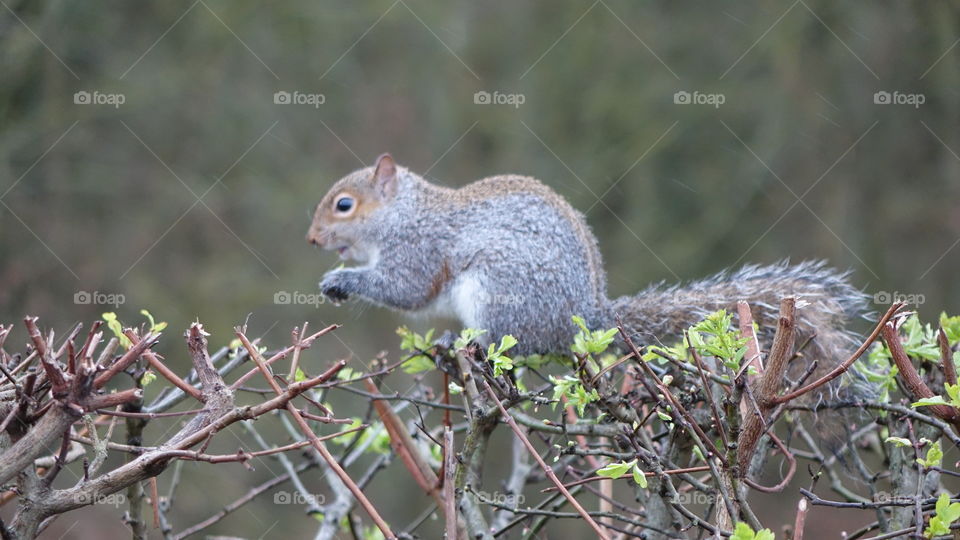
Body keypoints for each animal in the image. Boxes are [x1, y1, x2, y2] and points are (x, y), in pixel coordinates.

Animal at [306, 154, 869, 382]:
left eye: (344, 206)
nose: (311, 240)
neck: (404, 213)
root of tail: (584, 317)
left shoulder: (416, 249)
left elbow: (406, 289)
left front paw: (342, 280)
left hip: (500, 289)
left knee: (510, 342)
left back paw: (462, 342)